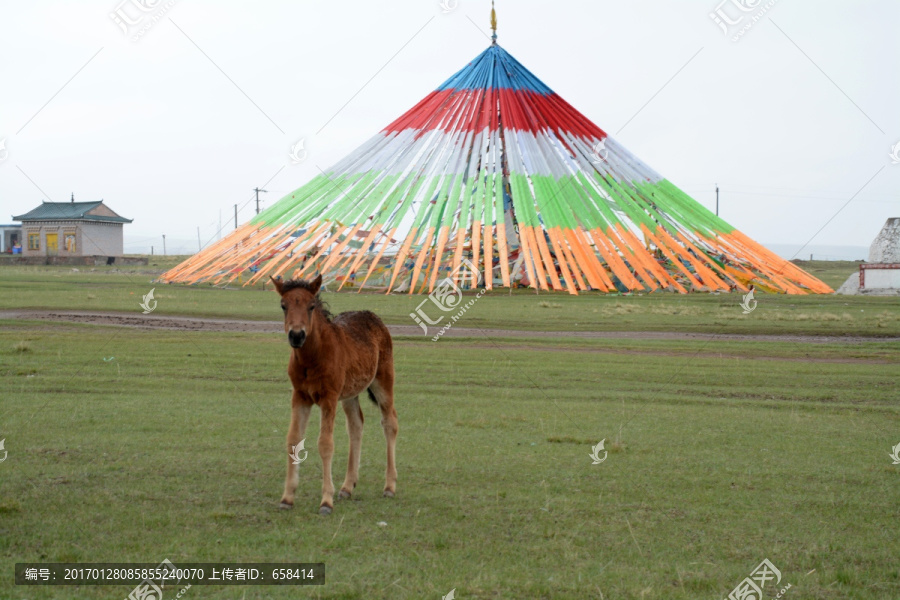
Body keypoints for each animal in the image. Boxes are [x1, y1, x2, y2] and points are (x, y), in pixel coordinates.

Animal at [270, 274, 398, 512]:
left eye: (311, 306)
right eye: (283, 305)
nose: (296, 335)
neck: (312, 358)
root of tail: (372, 315)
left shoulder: (328, 398)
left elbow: (325, 443)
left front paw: (326, 502)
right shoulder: (300, 396)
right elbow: (293, 440)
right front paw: (287, 498)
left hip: (383, 380)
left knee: (390, 422)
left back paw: (389, 487)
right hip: (349, 394)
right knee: (356, 425)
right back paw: (347, 487)